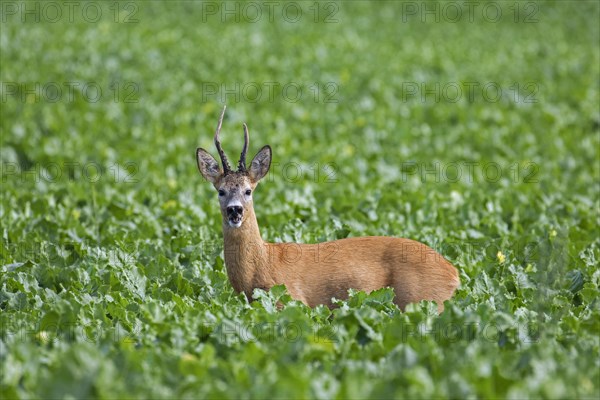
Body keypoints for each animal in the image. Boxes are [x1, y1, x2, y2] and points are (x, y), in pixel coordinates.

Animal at [197, 106, 460, 312]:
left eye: (248, 190)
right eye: (221, 191)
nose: (235, 210)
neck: (261, 265)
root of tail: (454, 273)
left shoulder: (290, 301)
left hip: (424, 301)